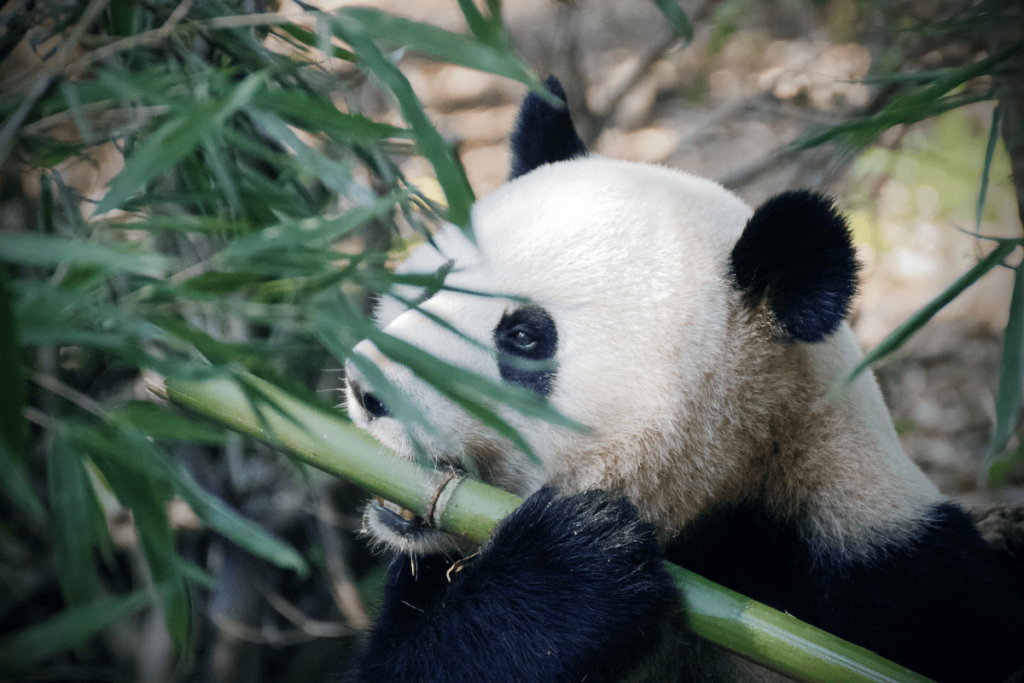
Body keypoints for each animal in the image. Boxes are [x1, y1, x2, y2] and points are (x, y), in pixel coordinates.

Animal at [344, 80, 1024, 683]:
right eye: (431, 284)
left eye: (524, 337)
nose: (366, 387)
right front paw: (574, 565)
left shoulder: (894, 578)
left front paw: (577, 558)